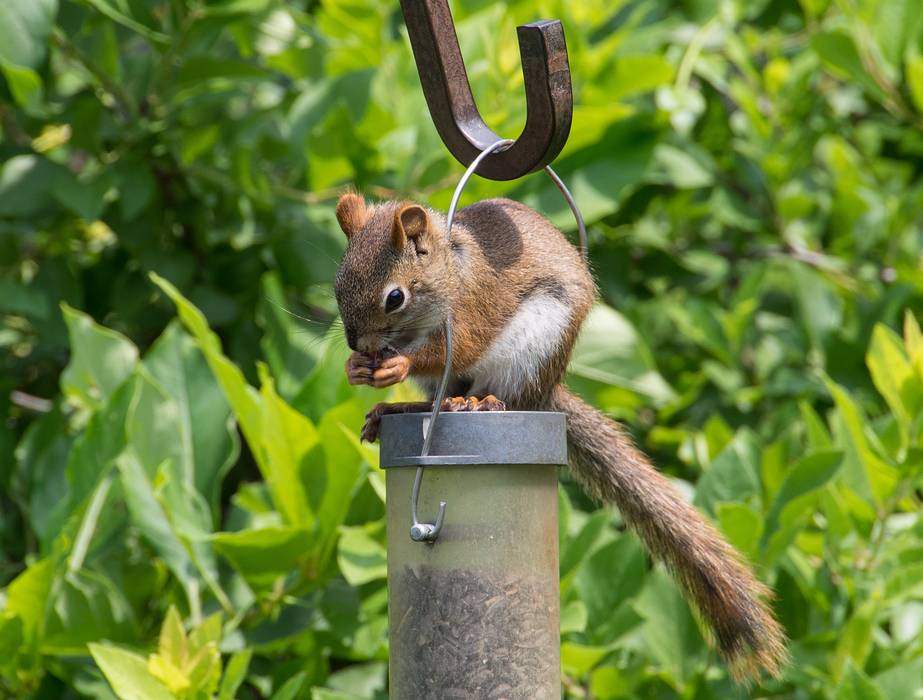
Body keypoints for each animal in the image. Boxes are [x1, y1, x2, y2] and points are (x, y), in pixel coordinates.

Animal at [332, 193, 788, 684]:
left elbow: (460, 345)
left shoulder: (477, 305)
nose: (358, 344)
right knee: (436, 395)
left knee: (505, 394)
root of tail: (549, 391)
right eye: (337, 285)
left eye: (394, 297)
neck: (451, 274)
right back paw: (398, 410)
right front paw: (356, 369)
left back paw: (479, 403)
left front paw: (398, 364)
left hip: (533, 348)